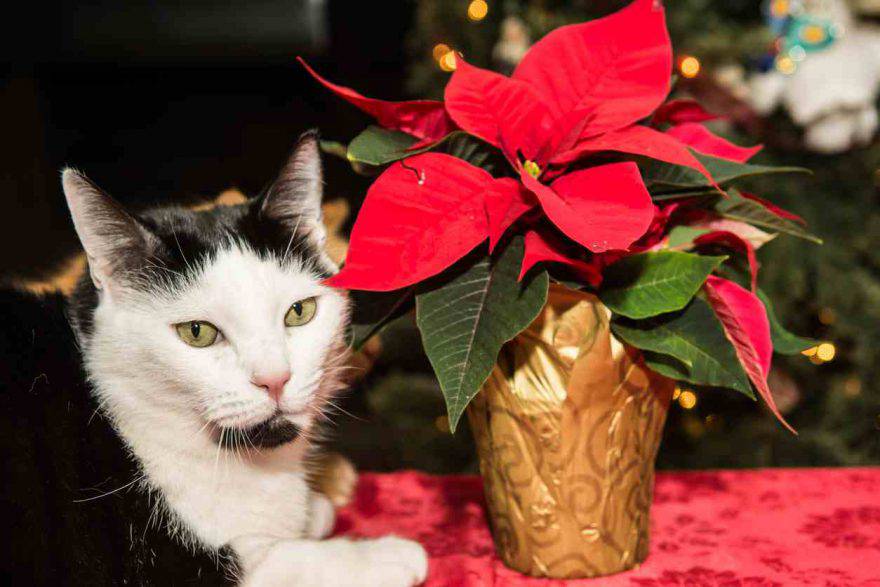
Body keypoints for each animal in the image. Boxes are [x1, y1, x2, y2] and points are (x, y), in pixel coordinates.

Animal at [0, 133, 428, 587]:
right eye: (197, 333)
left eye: (300, 312)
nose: (275, 379)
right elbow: (276, 556)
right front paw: (380, 554)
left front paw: (315, 509)